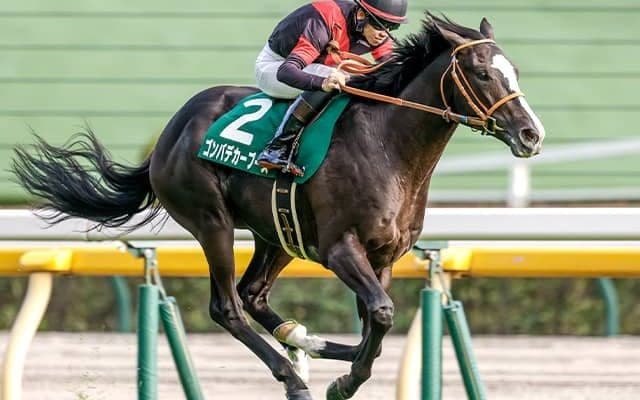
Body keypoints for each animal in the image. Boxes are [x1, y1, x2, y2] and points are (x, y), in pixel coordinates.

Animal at [12, 13, 545, 400]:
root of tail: (169, 132)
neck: (388, 147)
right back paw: (293, 376)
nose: (531, 134)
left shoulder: (384, 256)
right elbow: (381, 313)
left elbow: (376, 321)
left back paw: (305, 341)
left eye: (515, 72)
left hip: (278, 232)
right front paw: (342, 383)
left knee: (254, 295)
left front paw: (344, 364)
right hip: (212, 222)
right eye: (482, 73)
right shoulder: (339, 248)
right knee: (228, 306)